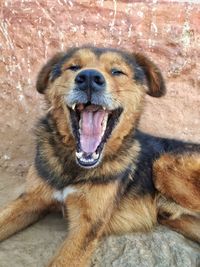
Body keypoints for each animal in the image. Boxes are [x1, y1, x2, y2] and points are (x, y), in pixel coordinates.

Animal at [0, 46, 200, 266]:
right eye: (74, 67)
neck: (74, 166)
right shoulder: (30, 200)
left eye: (117, 71)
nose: (88, 78)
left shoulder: (87, 226)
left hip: (163, 166)